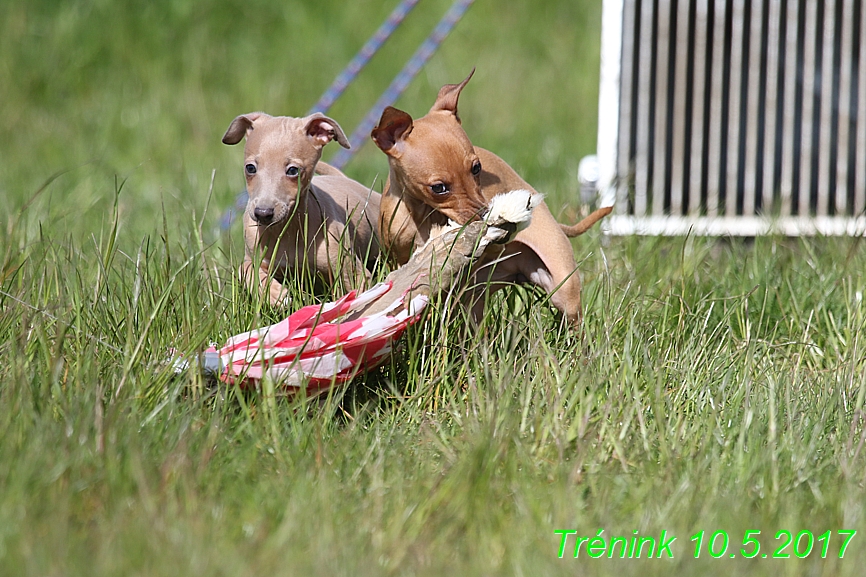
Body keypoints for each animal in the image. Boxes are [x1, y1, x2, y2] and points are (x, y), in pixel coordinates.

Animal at [224, 109, 380, 304]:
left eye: (293, 170)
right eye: (250, 168)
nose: (262, 214)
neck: (287, 229)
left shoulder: (351, 270)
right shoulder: (255, 254)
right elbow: (244, 269)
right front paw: (274, 293)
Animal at [370, 71, 608, 324]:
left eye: (476, 169)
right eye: (439, 188)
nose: (486, 215)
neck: (421, 214)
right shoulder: (398, 256)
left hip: (562, 287)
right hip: (474, 297)